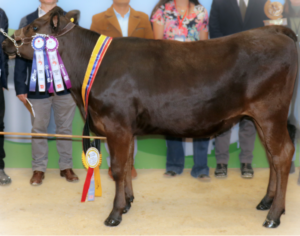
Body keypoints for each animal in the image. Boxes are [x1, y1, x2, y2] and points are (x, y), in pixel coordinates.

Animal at [1, 6, 298, 229]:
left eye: (34, 28)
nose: (5, 41)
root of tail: (274, 30)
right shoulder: (126, 129)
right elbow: (127, 164)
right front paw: (129, 202)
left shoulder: (116, 125)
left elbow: (117, 169)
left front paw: (115, 213)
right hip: (261, 118)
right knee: (272, 157)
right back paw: (266, 202)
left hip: (270, 113)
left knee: (282, 155)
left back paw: (274, 215)